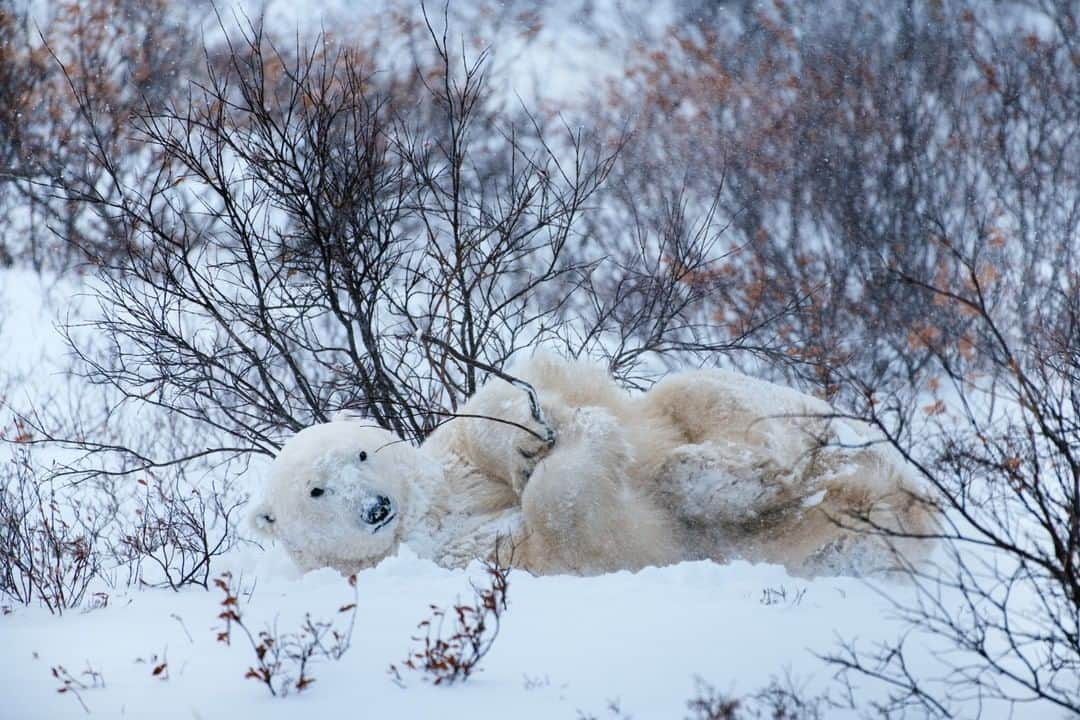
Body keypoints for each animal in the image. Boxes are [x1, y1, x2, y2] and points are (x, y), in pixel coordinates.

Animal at [247, 356, 937, 578]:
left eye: (362, 453)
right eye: (316, 490)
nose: (375, 508)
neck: (423, 518)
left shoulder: (447, 468)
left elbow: (480, 420)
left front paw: (531, 441)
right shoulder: (449, 557)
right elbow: (568, 528)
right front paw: (584, 442)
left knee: (704, 397)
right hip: (807, 542)